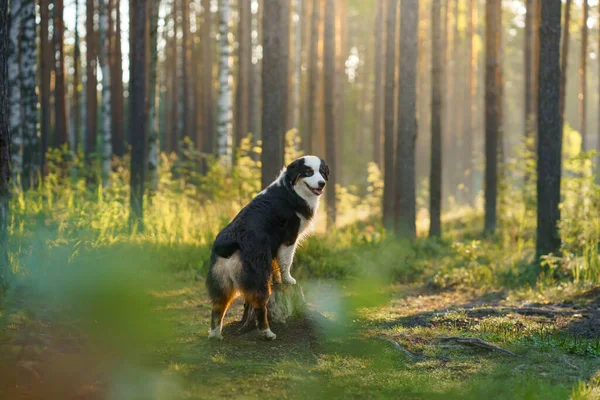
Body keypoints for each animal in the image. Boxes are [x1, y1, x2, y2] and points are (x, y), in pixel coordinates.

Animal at [205, 156, 328, 340]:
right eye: (308, 172)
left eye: (322, 171)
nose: (322, 183)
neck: (292, 191)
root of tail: (230, 242)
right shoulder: (288, 238)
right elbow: (286, 262)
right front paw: (288, 280)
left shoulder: (274, 246)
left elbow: (276, 264)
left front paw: (278, 280)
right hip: (257, 276)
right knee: (259, 304)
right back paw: (267, 333)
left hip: (222, 281)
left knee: (218, 306)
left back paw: (215, 335)